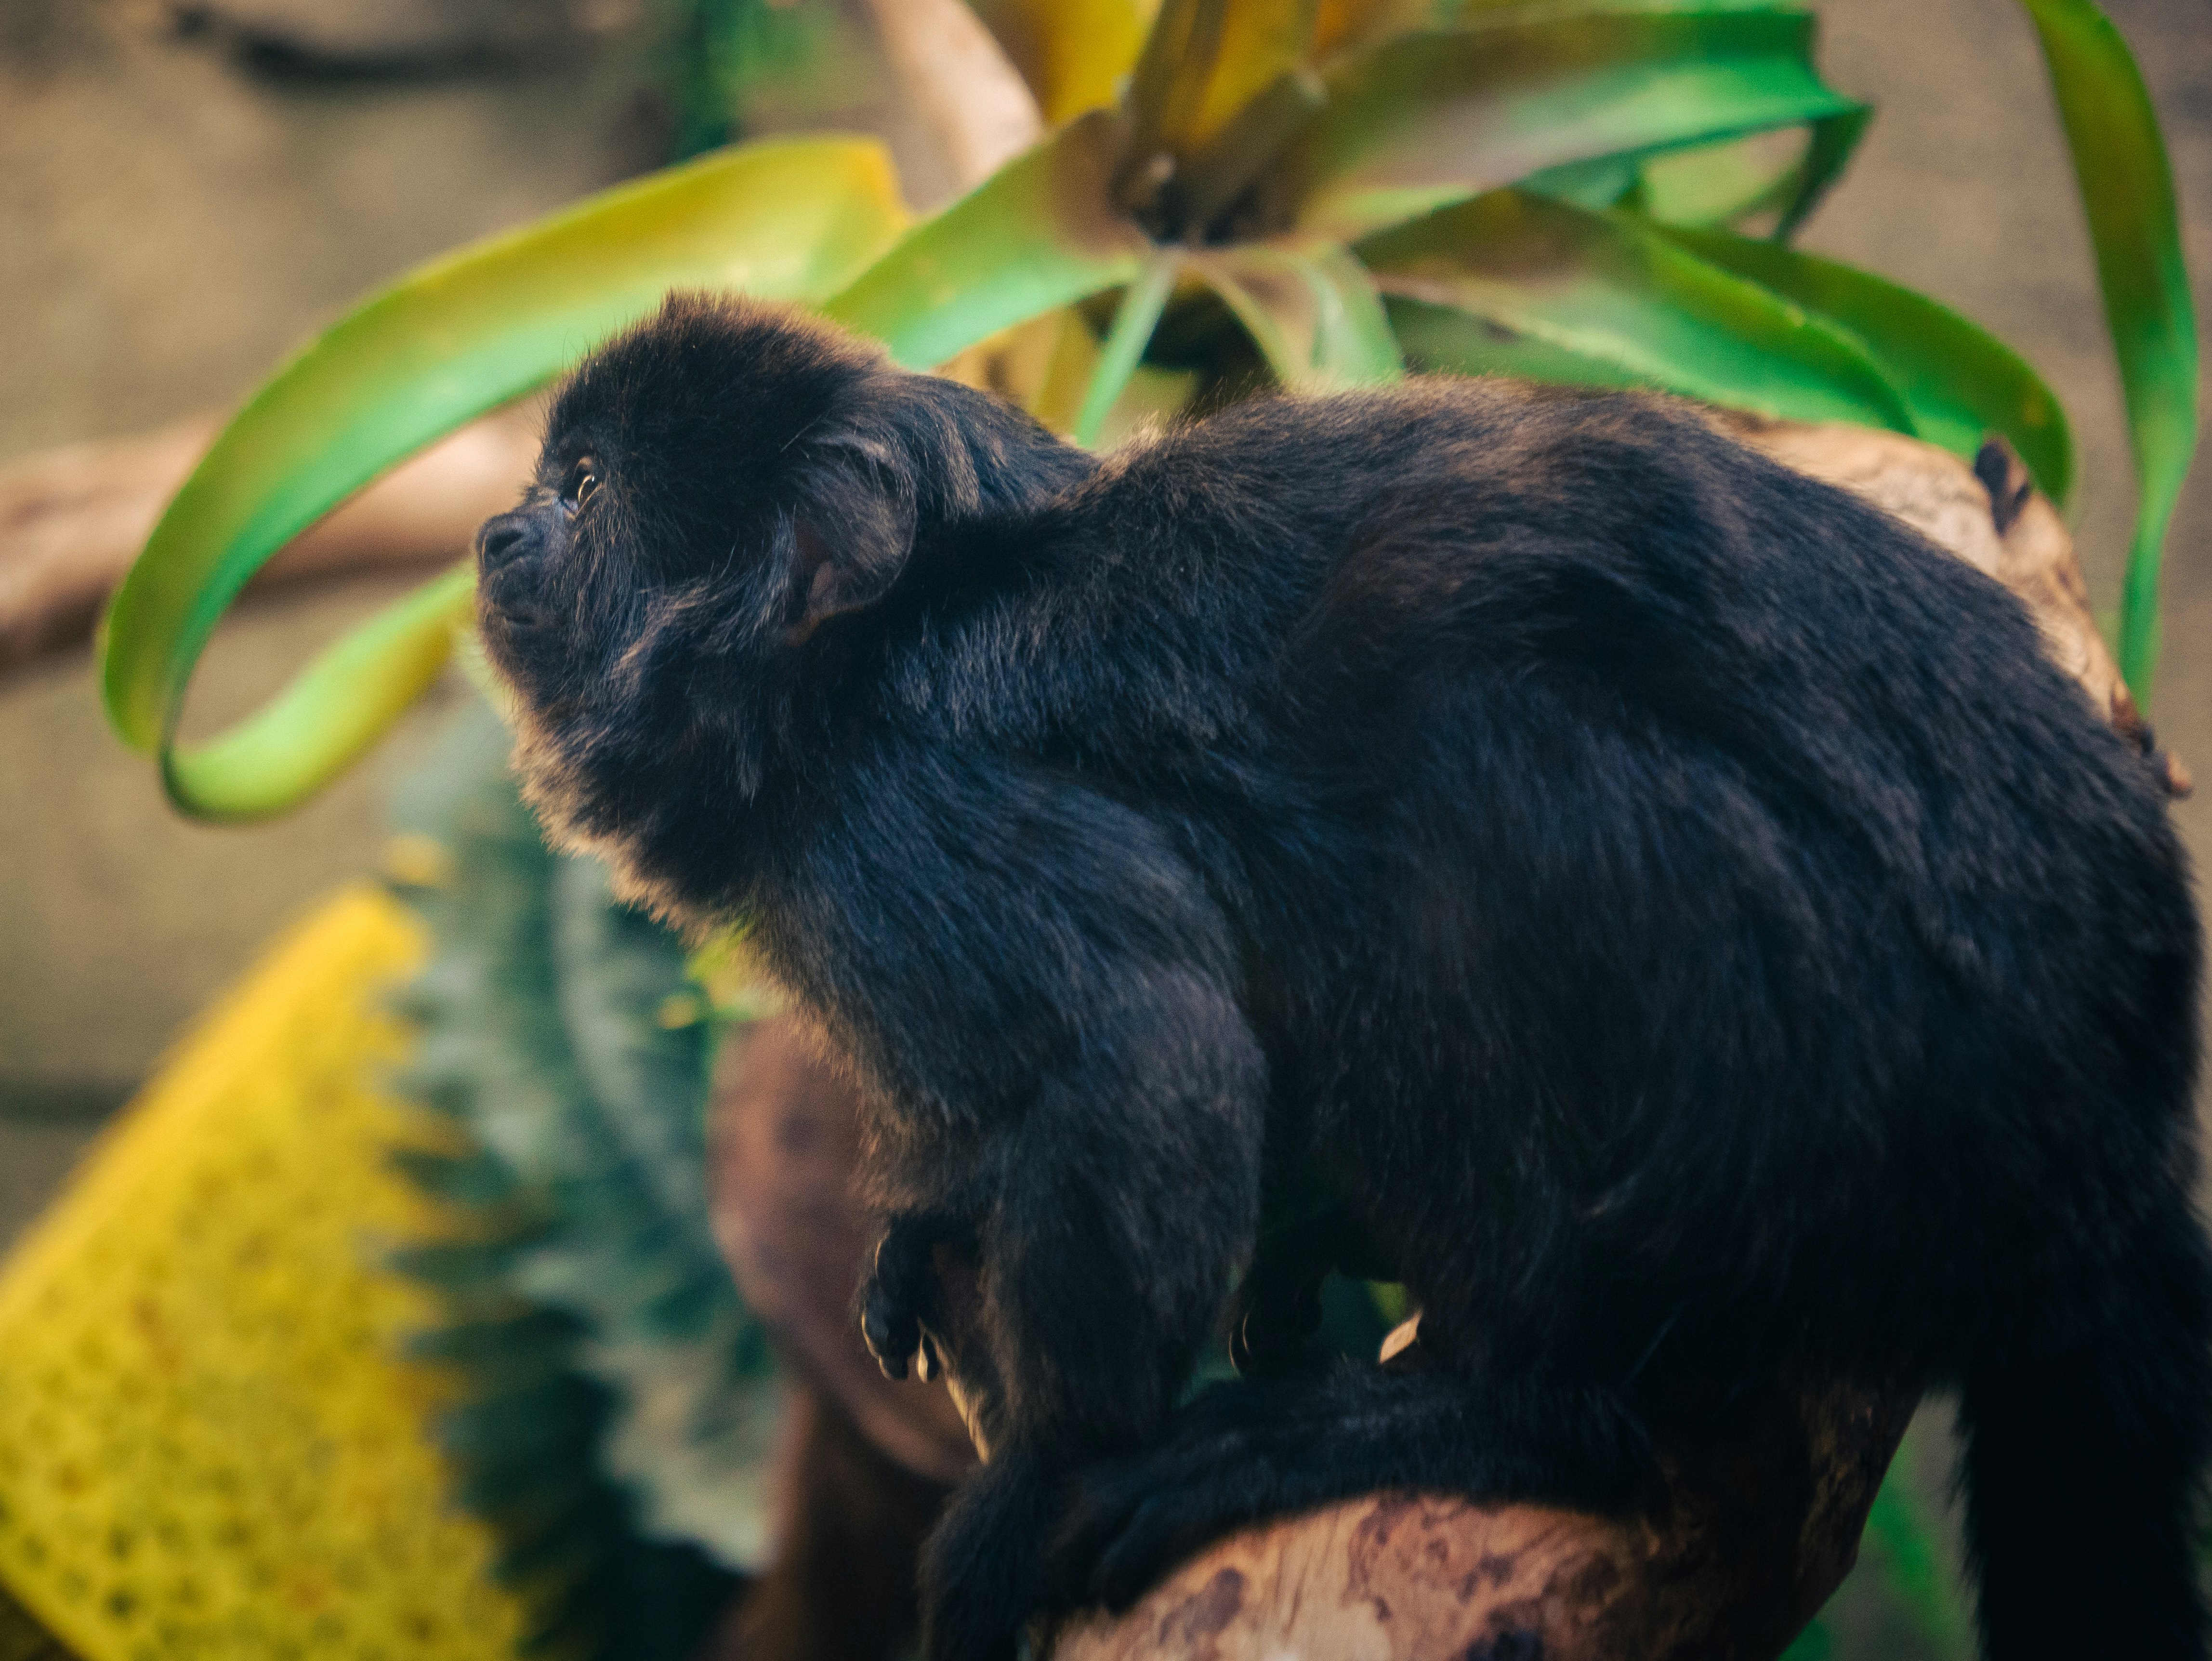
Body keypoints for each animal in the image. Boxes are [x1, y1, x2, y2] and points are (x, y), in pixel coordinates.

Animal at [475, 291, 2211, 1661]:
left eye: (583, 486)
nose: (496, 533)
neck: (842, 671)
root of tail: (2108, 1115)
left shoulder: (912, 815)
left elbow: (1148, 1046)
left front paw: (1035, 1489)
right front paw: (949, 1211)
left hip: (1843, 1048)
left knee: (1478, 781)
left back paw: (1495, 1406)